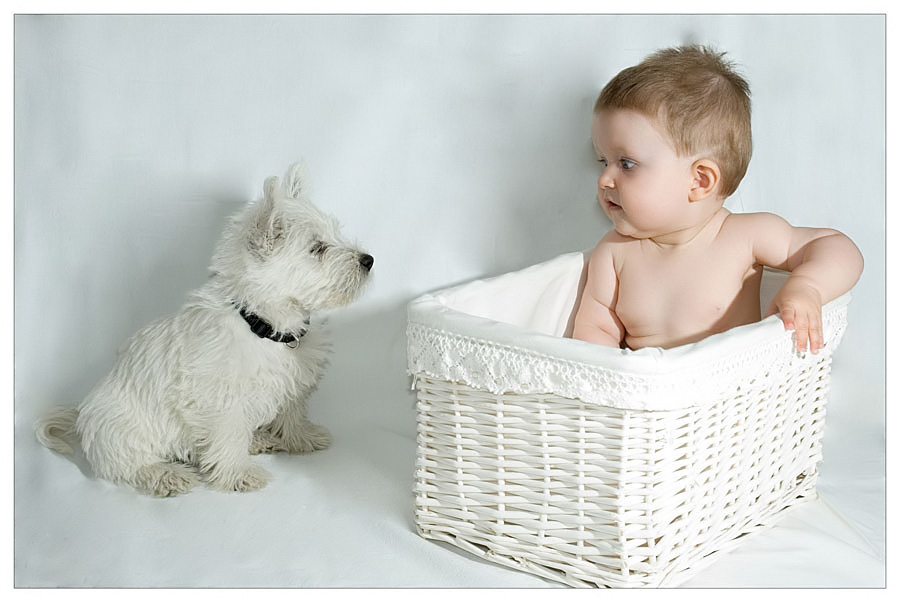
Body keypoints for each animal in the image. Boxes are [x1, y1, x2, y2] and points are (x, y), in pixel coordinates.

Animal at [35, 162, 372, 494]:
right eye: (317, 248)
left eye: (334, 235)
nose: (368, 260)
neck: (262, 324)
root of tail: (80, 413)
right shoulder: (220, 401)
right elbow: (228, 437)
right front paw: (237, 473)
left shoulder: (292, 386)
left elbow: (292, 414)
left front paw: (302, 438)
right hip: (121, 429)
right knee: (130, 465)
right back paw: (167, 475)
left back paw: (258, 439)